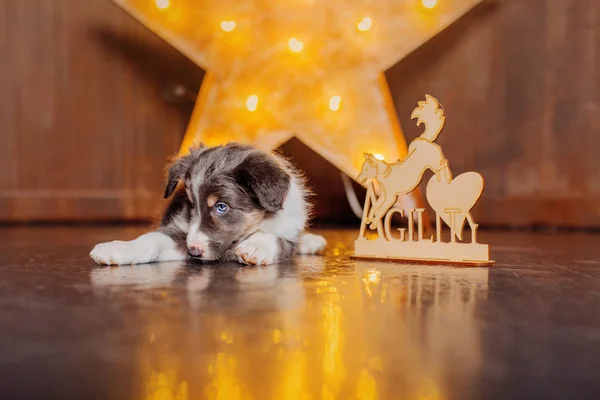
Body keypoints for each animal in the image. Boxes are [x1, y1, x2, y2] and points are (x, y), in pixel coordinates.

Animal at [88, 143, 328, 266]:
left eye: (221, 206)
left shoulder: (287, 231)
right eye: (192, 204)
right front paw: (118, 249)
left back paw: (311, 241)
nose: (193, 251)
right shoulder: (181, 231)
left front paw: (255, 246)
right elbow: (150, 240)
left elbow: (275, 237)